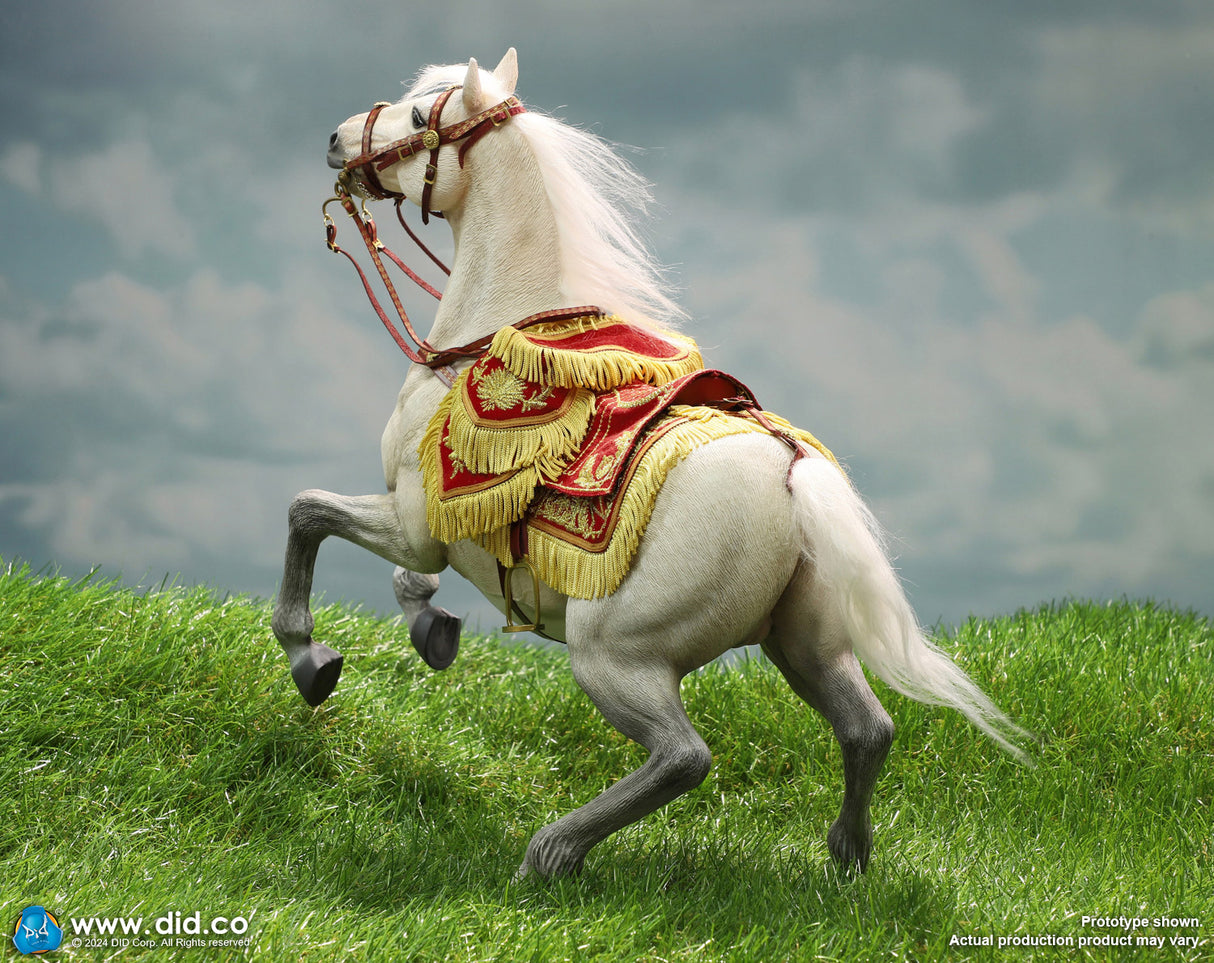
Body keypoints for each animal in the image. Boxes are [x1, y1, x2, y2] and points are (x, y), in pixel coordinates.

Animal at [272, 49, 1027, 880]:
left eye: (416, 116)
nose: (339, 139)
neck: (492, 339)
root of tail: (792, 474)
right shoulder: (429, 532)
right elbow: (404, 580)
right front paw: (431, 630)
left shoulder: (415, 520)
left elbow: (308, 512)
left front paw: (311, 655)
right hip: (805, 643)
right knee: (868, 729)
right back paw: (847, 857)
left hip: (614, 657)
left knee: (684, 755)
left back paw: (551, 852)